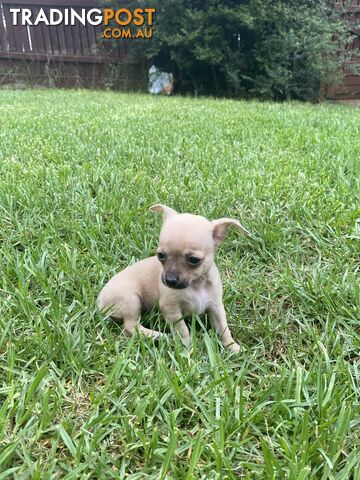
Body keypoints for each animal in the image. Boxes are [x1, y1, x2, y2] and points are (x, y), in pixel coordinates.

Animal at [98, 203, 250, 352]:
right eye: (161, 255)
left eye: (194, 260)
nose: (169, 280)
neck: (196, 285)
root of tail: (99, 301)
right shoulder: (171, 310)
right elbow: (183, 330)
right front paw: (187, 348)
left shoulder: (216, 307)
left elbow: (223, 329)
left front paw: (233, 347)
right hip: (131, 300)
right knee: (131, 326)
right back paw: (157, 335)